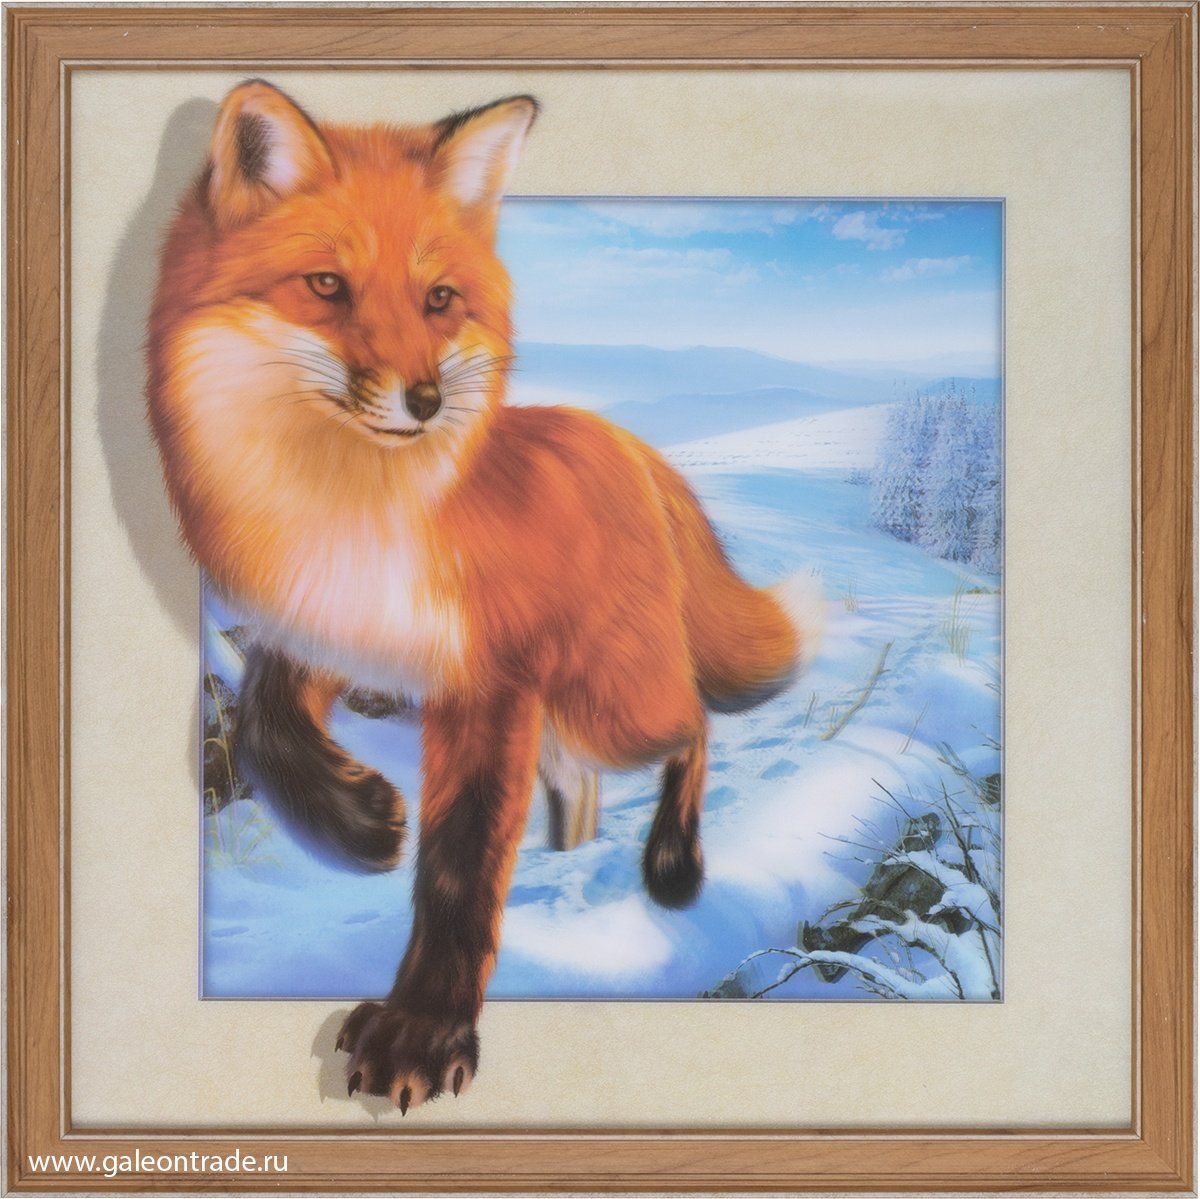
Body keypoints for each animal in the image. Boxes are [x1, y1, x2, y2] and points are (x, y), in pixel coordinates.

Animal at [148, 79, 824, 1111]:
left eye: (439, 299)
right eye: (327, 287)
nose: (425, 400)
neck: (354, 517)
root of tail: (622, 439)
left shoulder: (489, 683)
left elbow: (461, 864)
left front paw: (425, 1029)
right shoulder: (317, 633)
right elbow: (264, 729)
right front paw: (358, 822)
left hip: (607, 701)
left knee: (695, 723)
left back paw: (672, 860)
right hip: (573, 717)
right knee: (592, 773)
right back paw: (570, 844)